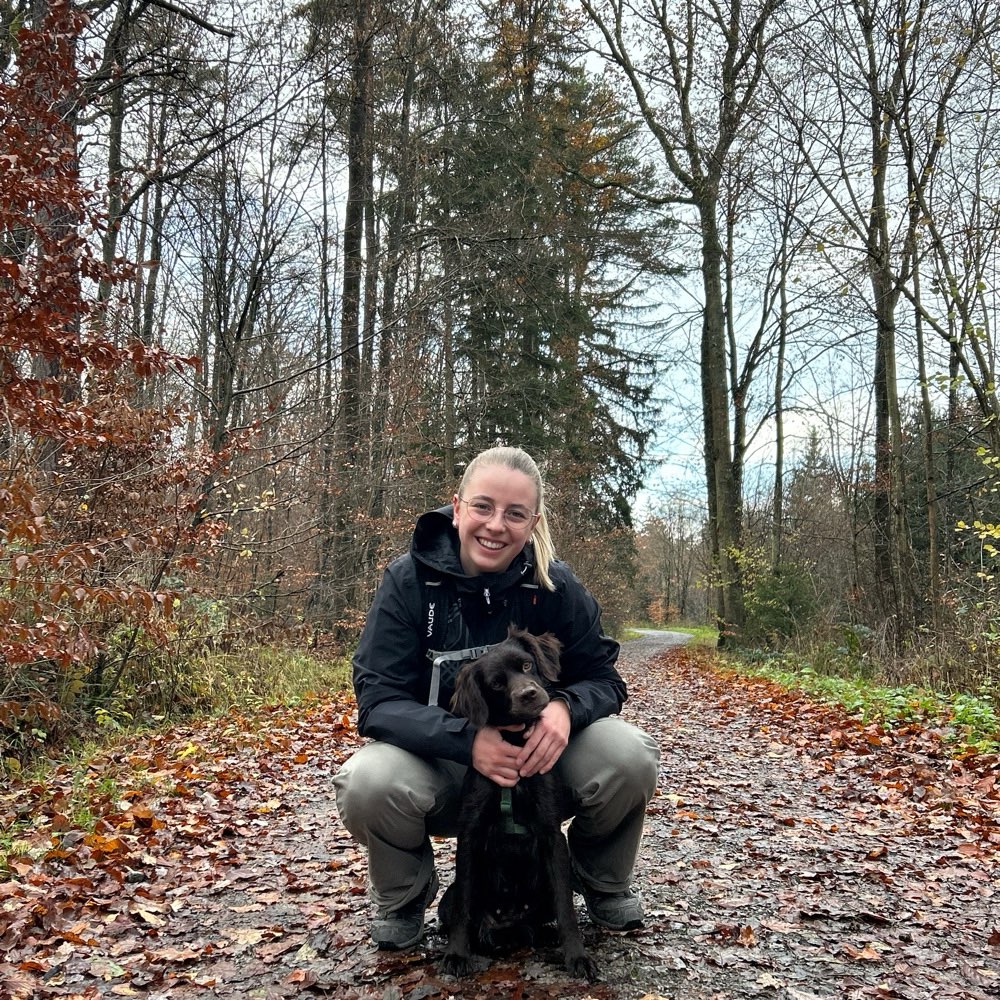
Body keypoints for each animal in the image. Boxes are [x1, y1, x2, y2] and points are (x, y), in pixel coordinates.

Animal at [436, 628, 592, 980]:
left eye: (526, 665)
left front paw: (577, 956)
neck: (517, 743)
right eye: (496, 683)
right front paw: (457, 954)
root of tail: (508, 923)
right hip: (445, 900)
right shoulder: (470, 834)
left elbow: (566, 907)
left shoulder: (551, 834)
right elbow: (463, 906)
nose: (529, 695)